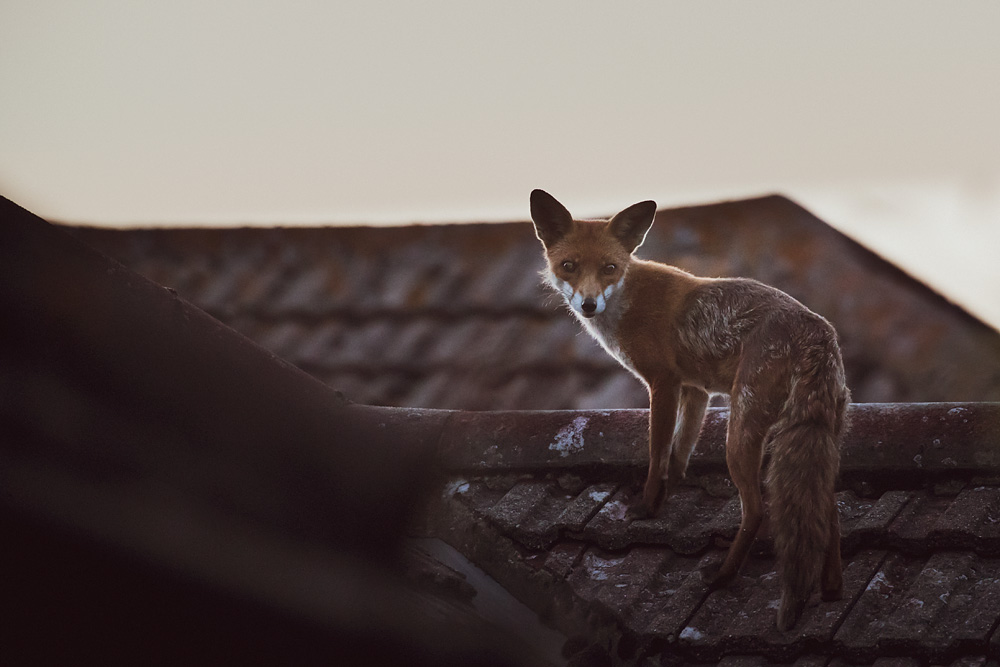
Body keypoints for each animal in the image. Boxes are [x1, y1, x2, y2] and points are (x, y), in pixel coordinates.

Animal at [529, 189, 849, 631]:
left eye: (610, 268)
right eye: (569, 266)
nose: (589, 305)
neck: (628, 299)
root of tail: (819, 331)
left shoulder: (663, 383)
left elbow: (656, 453)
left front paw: (645, 508)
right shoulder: (696, 390)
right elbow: (680, 455)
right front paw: (667, 497)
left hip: (742, 431)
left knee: (758, 511)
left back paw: (723, 577)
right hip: (818, 440)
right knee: (827, 512)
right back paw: (832, 590)